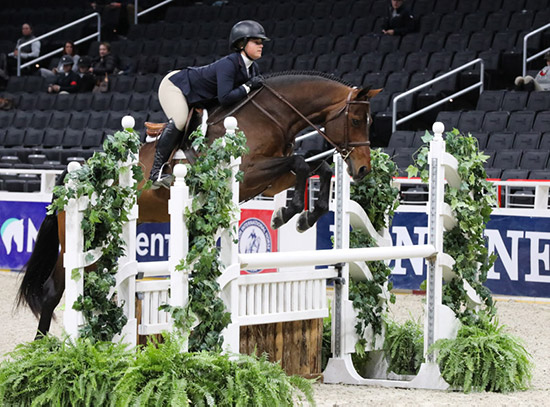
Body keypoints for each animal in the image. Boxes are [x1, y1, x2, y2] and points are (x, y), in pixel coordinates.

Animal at [16, 71, 380, 340]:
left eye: (369, 121)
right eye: (356, 120)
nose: (363, 169)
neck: (273, 117)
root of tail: (76, 173)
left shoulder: (271, 179)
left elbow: (319, 168)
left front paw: (299, 215)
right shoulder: (248, 174)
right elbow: (302, 162)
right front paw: (289, 214)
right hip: (78, 238)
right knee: (56, 289)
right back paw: (45, 350)